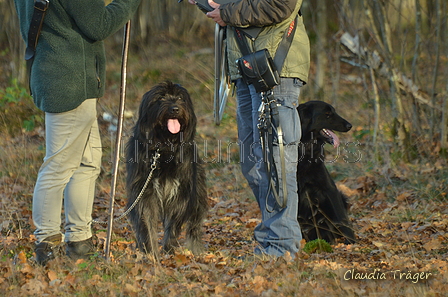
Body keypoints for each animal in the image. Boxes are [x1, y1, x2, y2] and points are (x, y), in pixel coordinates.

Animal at [126, 81, 208, 260]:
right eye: (161, 98)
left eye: (180, 98)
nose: (175, 109)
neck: (163, 148)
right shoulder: (145, 191)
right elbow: (147, 221)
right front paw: (152, 253)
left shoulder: (180, 192)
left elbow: (173, 223)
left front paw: (169, 249)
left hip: (198, 193)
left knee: (195, 223)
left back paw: (196, 249)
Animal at [298, 100, 356, 243]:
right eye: (327, 114)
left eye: (333, 111)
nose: (349, 125)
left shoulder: (329, 189)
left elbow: (342, 219)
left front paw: (352, 242)